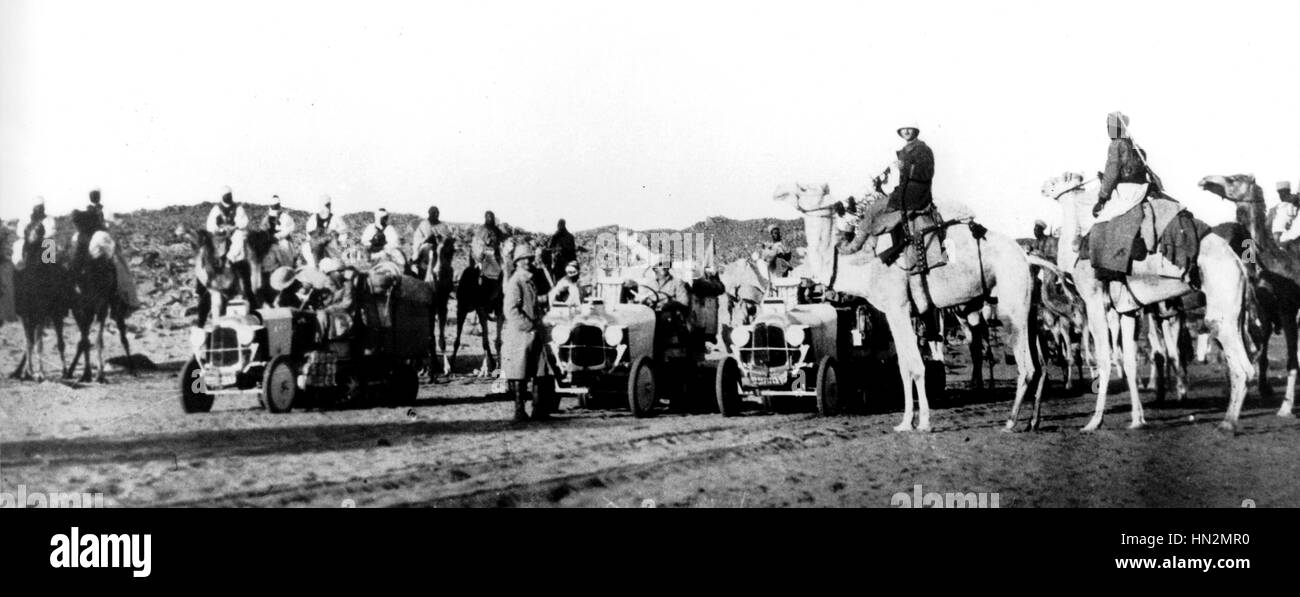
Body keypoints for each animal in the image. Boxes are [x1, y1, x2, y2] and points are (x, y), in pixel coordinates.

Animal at [769, 184, 1045, 431]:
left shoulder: (898, 307)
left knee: (1026, 366)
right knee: (1038, 365)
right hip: (1028, 310)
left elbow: (915, 365)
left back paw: (1010, 422)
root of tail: (1026, 258)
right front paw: (905, 422)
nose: (779, 192)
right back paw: (1032, 421)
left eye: (803, 189)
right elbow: (903, 365)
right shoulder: (897, 313)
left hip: (1012, 307)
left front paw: (922, 423)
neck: (867, 268)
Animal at [1040, 174, 1253, 434]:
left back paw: (1227, 423)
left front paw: (1093, 422)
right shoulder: (1127, 309)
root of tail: (1239, 263)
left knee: (1238, 364)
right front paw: (1137, 419)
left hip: (1219, 302)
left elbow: (1105, 358)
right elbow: (1130, 361)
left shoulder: (1094, 300)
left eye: (1058, 180)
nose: (1044, 188)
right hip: (1235, 310)